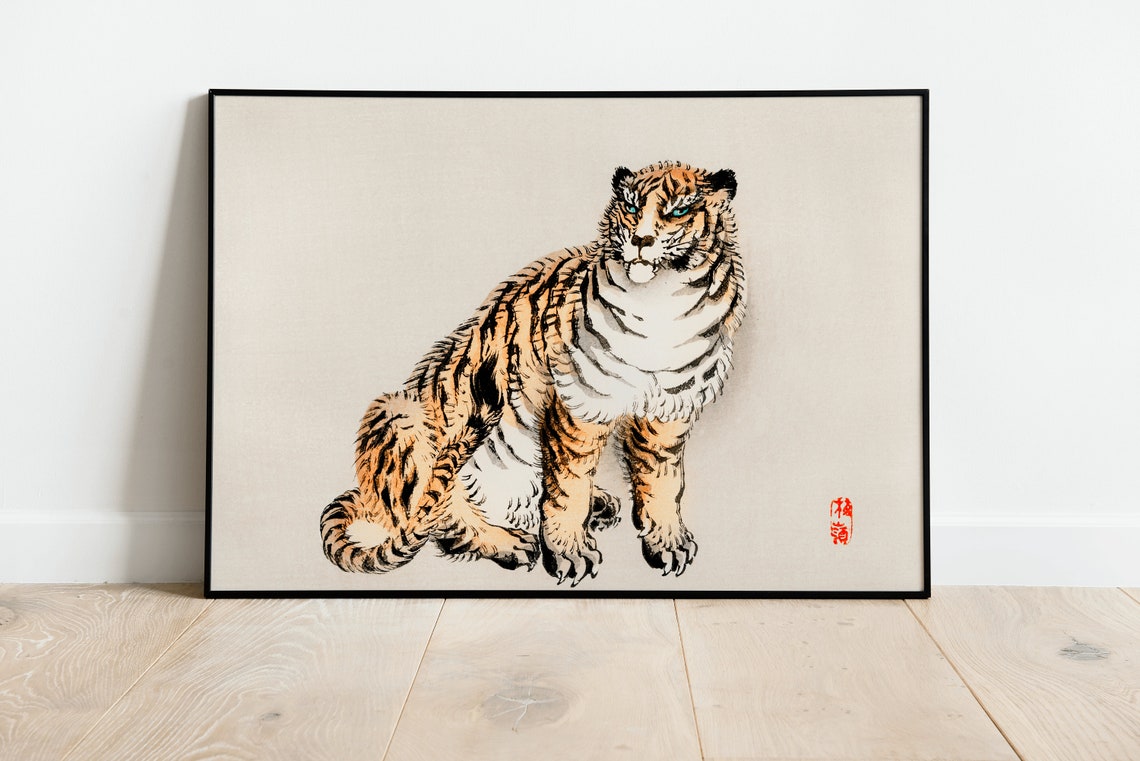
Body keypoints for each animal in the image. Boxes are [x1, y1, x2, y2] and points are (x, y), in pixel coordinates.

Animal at [320, 161, 745, 586]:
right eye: (630, 207)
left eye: (678, 211)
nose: (641, 240)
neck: (662, 303)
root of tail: (367, 498)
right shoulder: (577, 407)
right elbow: (568, 487)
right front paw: (570, 554)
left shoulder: (669, 412)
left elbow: (663, 481)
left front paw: (668, 543)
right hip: (397, 412)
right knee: (442, 519)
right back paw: (511, 543)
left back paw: (599, 503)